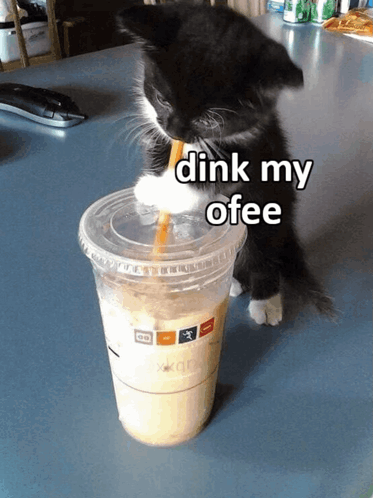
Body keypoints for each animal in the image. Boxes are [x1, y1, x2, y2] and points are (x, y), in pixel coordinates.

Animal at [116, 3, 334, 326]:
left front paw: (164, 191)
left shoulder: (257, 153)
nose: (176, 130)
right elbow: (160, 150)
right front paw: (151, 187)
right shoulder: (158, 129)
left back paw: (265, 298)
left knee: (262, 252)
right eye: (163, 100)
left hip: (270, 211)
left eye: (208, 120)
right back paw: (229, 279)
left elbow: (216, 176)